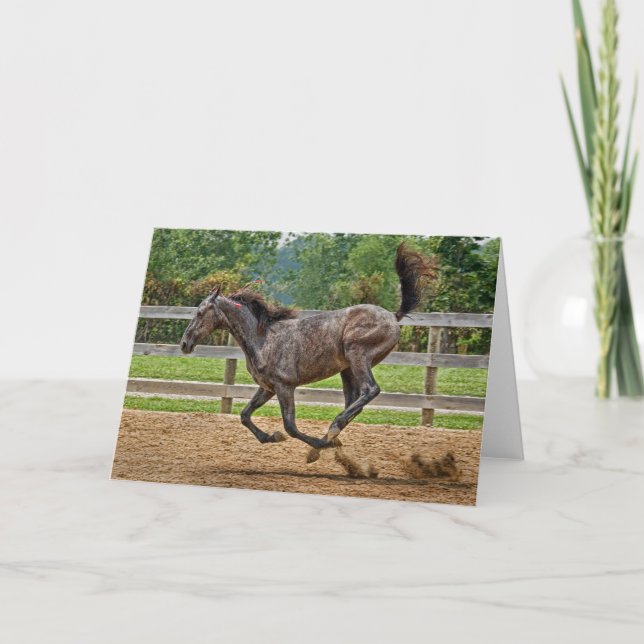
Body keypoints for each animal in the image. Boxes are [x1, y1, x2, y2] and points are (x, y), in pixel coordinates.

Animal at [180, 242, 435, 461]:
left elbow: (290, 426)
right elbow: (244, 415)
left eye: (200, 312)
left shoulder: (285, 386)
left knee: (370, 390)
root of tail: (393, 316)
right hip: (347, 369)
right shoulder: (267, 388)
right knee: (355, 400)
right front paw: (272, 437)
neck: (263, 339)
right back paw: (331, 436)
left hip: (357, 355)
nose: (184, 343)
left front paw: (311, 443)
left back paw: (331, 433)